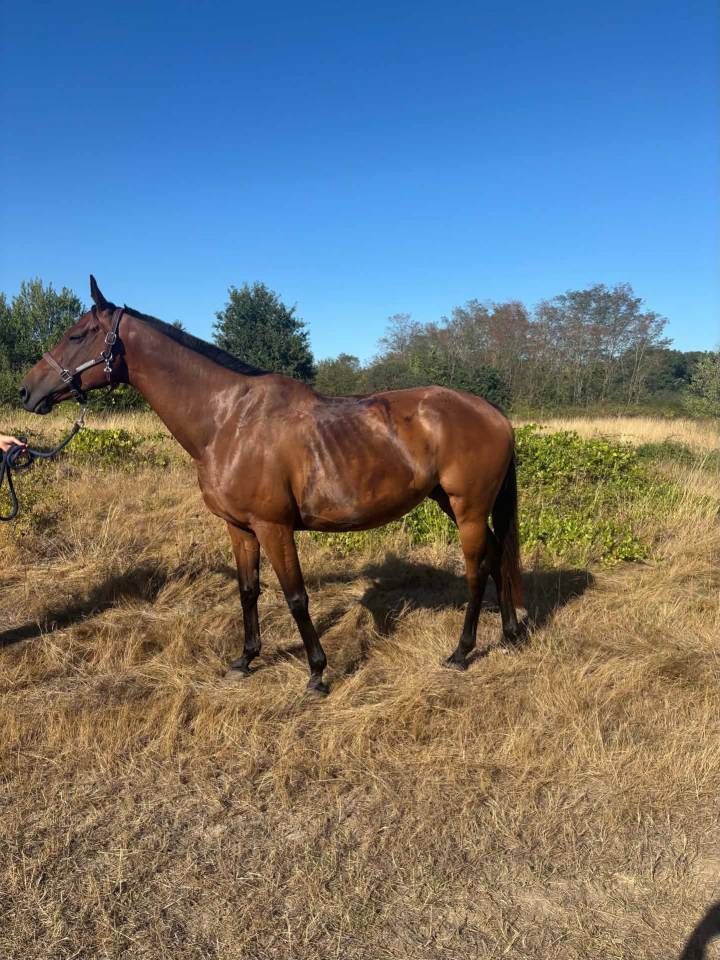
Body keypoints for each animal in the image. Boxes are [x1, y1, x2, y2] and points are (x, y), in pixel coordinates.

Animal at [19, 276, 524, 695]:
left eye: (78, 335)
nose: (26, 392)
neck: (227, 420)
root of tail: (495, 414)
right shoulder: (240, 528)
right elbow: (248, 590)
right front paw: (245, 660)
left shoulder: (273, 526)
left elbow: (296, 596)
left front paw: (317, 673)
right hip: (453, 504)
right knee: (498, 557)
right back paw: (510, 634)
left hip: (467, 508)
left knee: (478, 569)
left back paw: (461, 652)